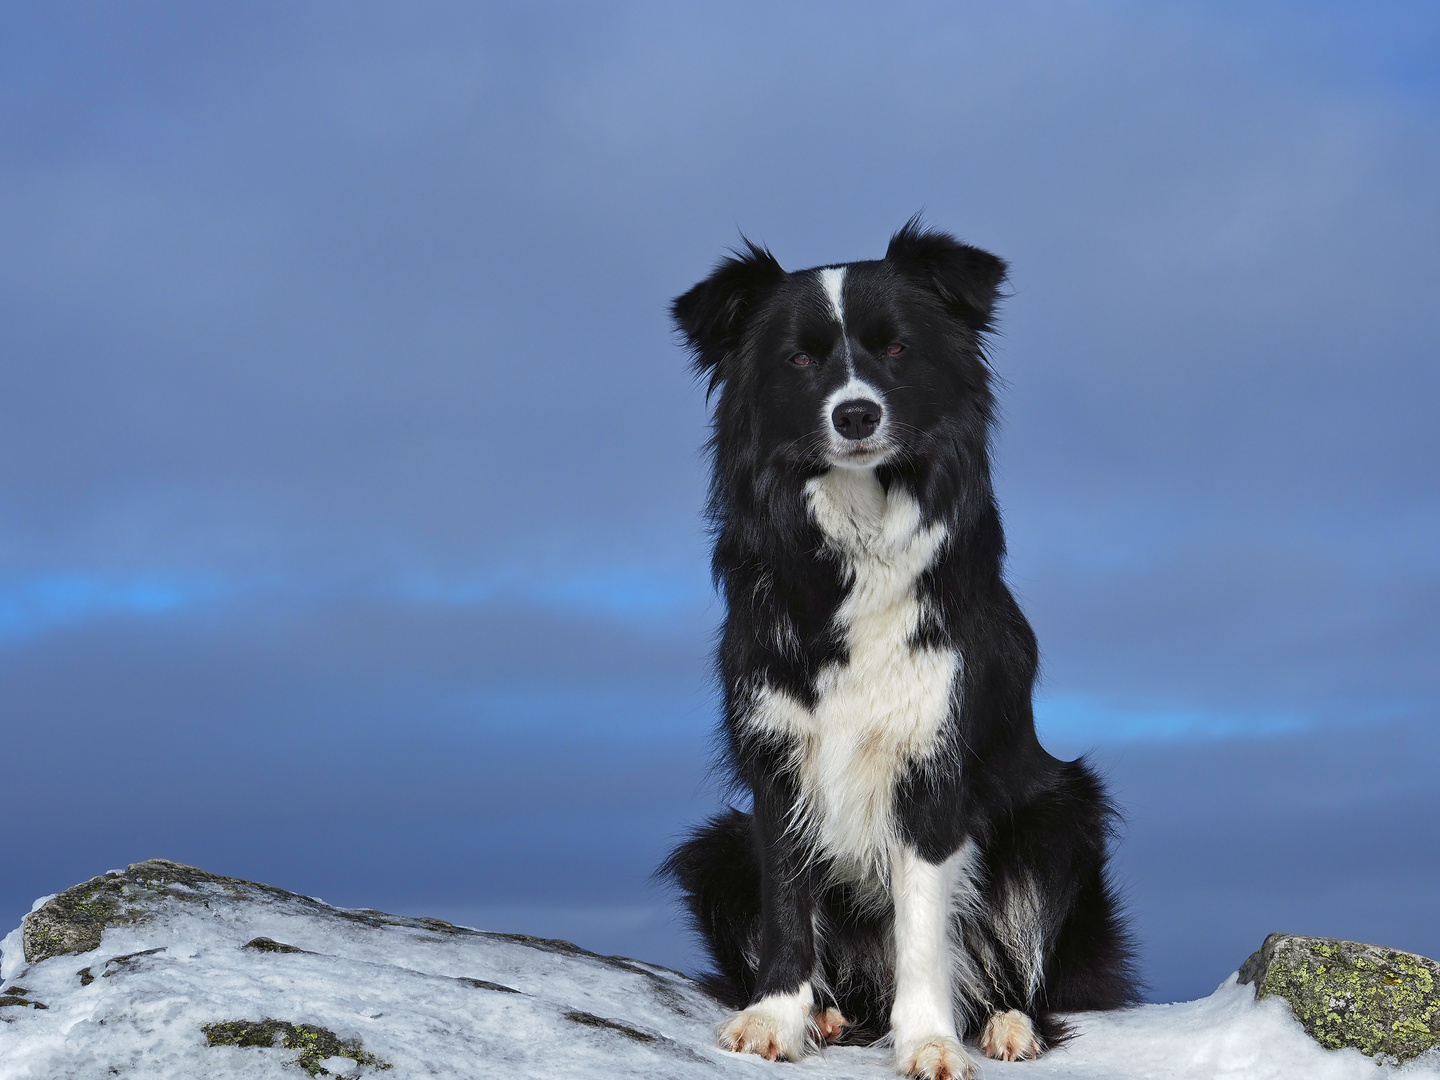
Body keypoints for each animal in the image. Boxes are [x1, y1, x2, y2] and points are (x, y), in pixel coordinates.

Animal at [659, 221, 1134, 1080]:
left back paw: (1005, 1024)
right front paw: (776, 1019)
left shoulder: (932, 769)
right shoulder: (778, 764)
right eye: (800, 359)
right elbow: (788, 907)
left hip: (1062, 818)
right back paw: (833, 1012)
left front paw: (930, 1042)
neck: (858, 540)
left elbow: (922, 926)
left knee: (1025, 971)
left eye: (897, 349)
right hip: (717, 848)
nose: (854, 415)